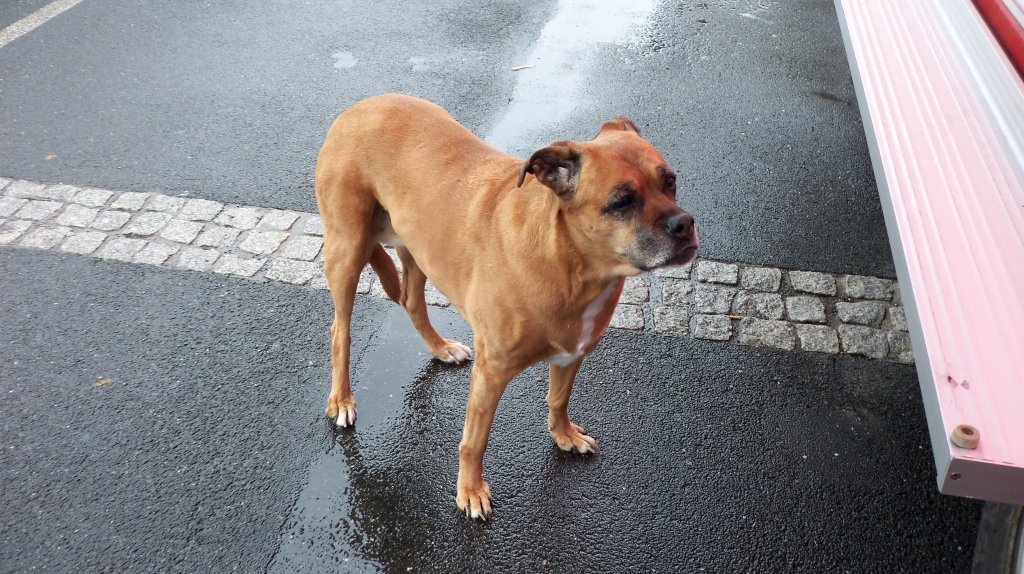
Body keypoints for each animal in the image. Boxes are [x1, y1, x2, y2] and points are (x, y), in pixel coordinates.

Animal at [313, 94, 696, 519]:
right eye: (622, 201)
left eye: (670, 181)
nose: (685, 225)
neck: (567, 262)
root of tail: (359, 106)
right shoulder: (491, 372)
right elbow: (474, 441)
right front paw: (470, 490)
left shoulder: (571, 353)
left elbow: (559, 398)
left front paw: (563, 434)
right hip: (347, 251)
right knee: (339, 331)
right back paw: (341, 399)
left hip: (418, 250)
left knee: (412, 303)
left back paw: (440, 348)